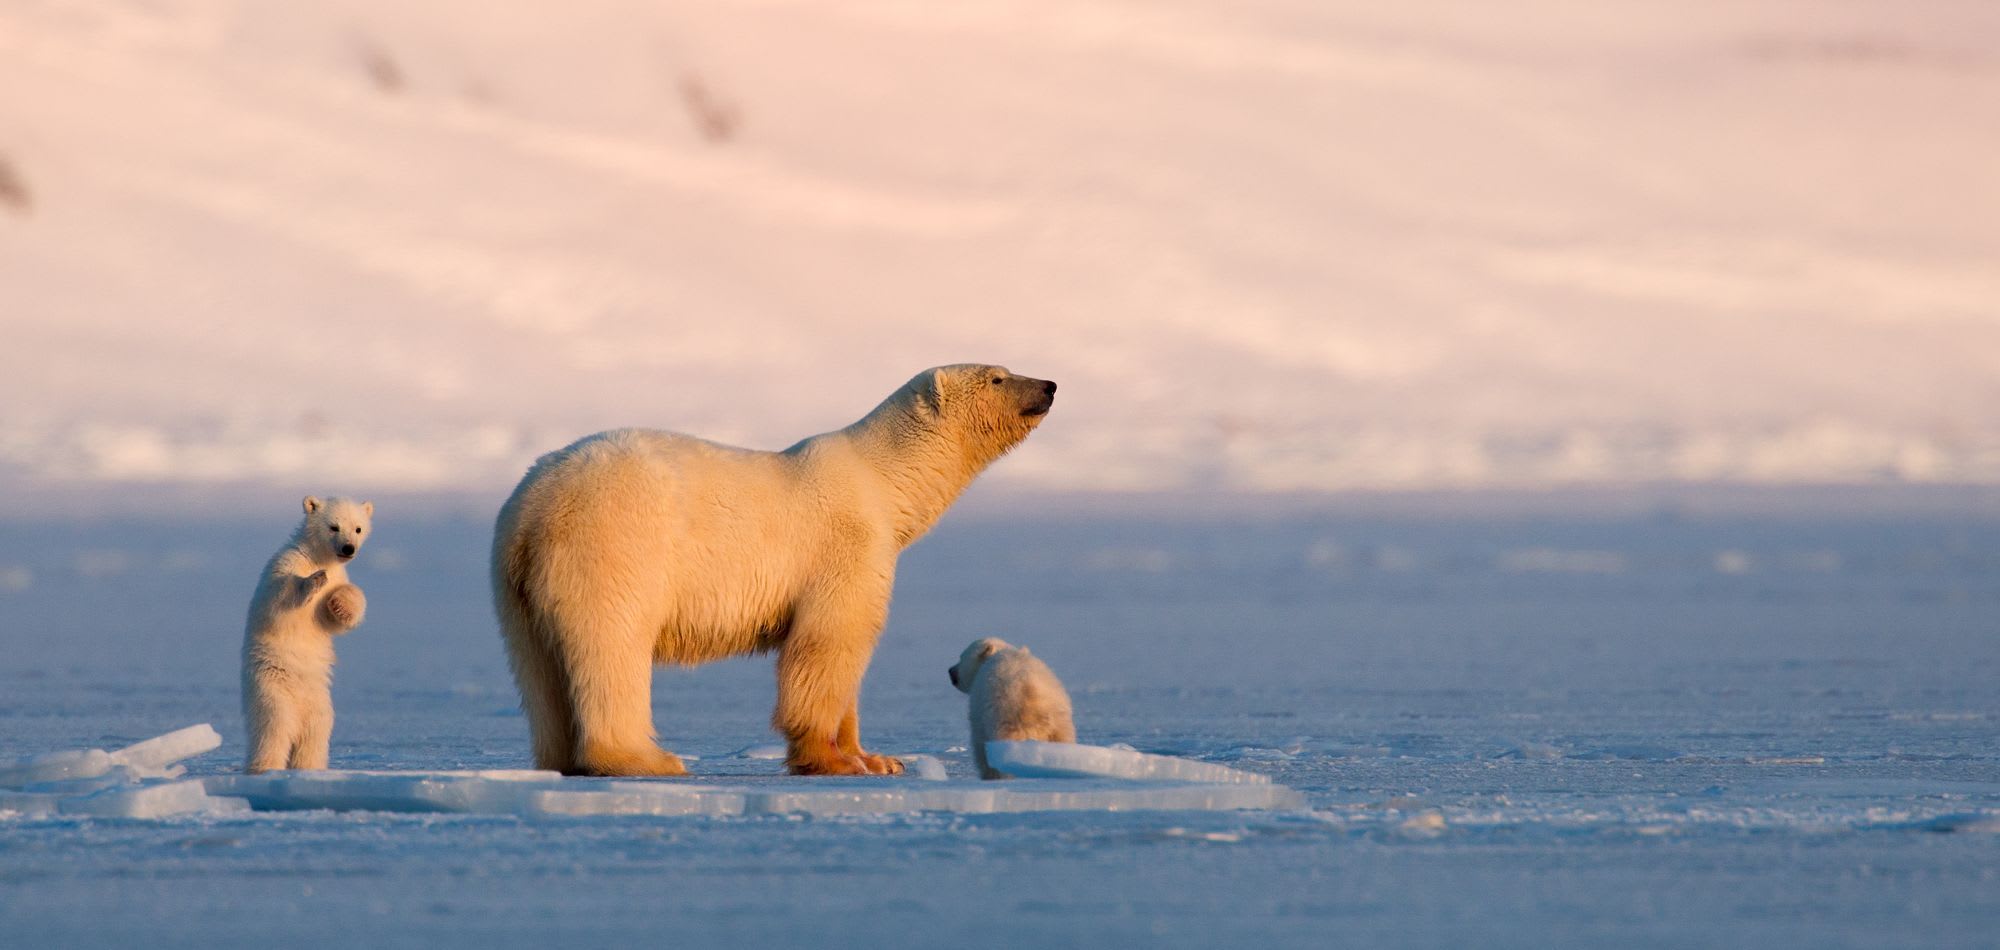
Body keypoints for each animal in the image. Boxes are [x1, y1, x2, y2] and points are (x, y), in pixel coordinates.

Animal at [241, 495, 373, 773]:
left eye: (358, 528)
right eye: (334, 527)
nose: (348, 548)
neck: (317, 556)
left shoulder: (339, 574)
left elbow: (333, 618)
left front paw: (340, 602)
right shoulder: (285, 562)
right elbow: (277, 598)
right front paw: (314, 580)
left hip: (319, 702)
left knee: (314, 735)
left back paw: (309, 768)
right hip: (271, 688)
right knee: (273, 729)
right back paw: (264, 767)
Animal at [492, 364, 1056, 777]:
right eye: (998, 376)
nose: (1049, 385)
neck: (882, 480)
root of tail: (532, 508)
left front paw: (879, 758)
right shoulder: (845, 547)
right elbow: (828, 645)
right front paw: (834, 761)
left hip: (515, 584)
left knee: (538, 670)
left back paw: (561, 759)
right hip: (615, 545)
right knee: (612, 645)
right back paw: (647, 759)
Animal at [948, 637, 1077, 779]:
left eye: (961, 657)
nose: (950, 671)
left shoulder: (979, 711)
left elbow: (980, 746)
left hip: (1005, 717)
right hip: (1058, 723)